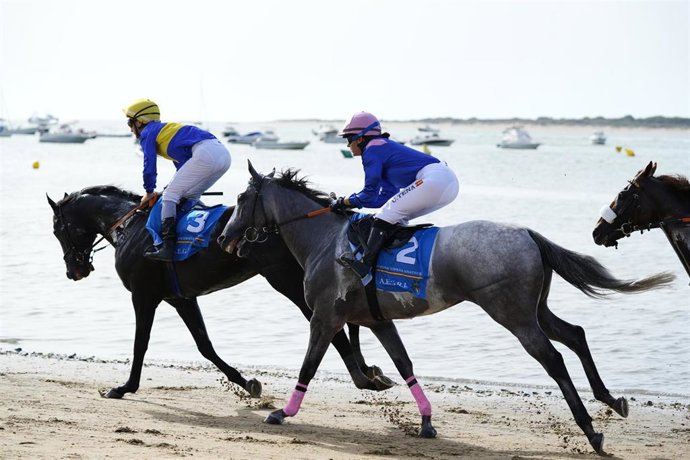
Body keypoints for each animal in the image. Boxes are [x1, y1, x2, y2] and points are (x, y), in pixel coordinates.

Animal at [47, 185, 394, 400]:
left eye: (56, 229)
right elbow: (205, 345)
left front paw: (125, 387)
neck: (131, 228)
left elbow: (140, 344)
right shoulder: (180, 298)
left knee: (332, 324)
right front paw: (247, 382)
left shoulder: (144, 295)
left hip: (288, 281)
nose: (73, 271)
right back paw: (370, 371)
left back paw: (364, 376)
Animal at [217, 161, 675, 454]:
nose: (224, 237)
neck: (326, 241)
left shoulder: (325, 317)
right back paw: (611, 400)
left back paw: (591, 432)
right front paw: (425, 421)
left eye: (240, 198)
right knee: (575, 335)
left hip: (512, 313)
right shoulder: (378, 320)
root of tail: (527, 232)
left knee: (553, 358)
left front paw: (282, 412)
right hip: (535, 309)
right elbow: (403, 364)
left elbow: (309, 365)